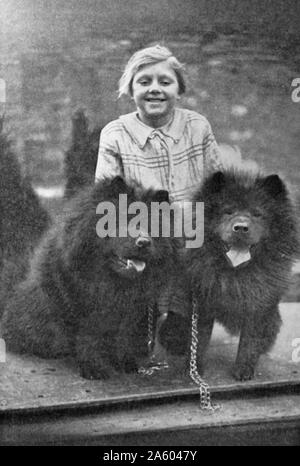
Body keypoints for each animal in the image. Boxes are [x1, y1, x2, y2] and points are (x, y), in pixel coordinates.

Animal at [0, 177, 180, 378]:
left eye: (152, 227)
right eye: (123, 221)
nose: (144, 242)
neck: (115, 284)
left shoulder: (130, 312)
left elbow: (123, 336)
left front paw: (126, 363)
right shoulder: (82, 308)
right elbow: (89, 337)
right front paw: (94, 368)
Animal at [188, 169, 298, 380]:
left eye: (257, 214)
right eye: (228, 211)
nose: (240, 227)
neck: (236, 274)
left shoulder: (259, 306)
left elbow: (249, 341)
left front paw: (243, 370)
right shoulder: (203, 303)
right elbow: (200, 339)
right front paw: (196, 369)